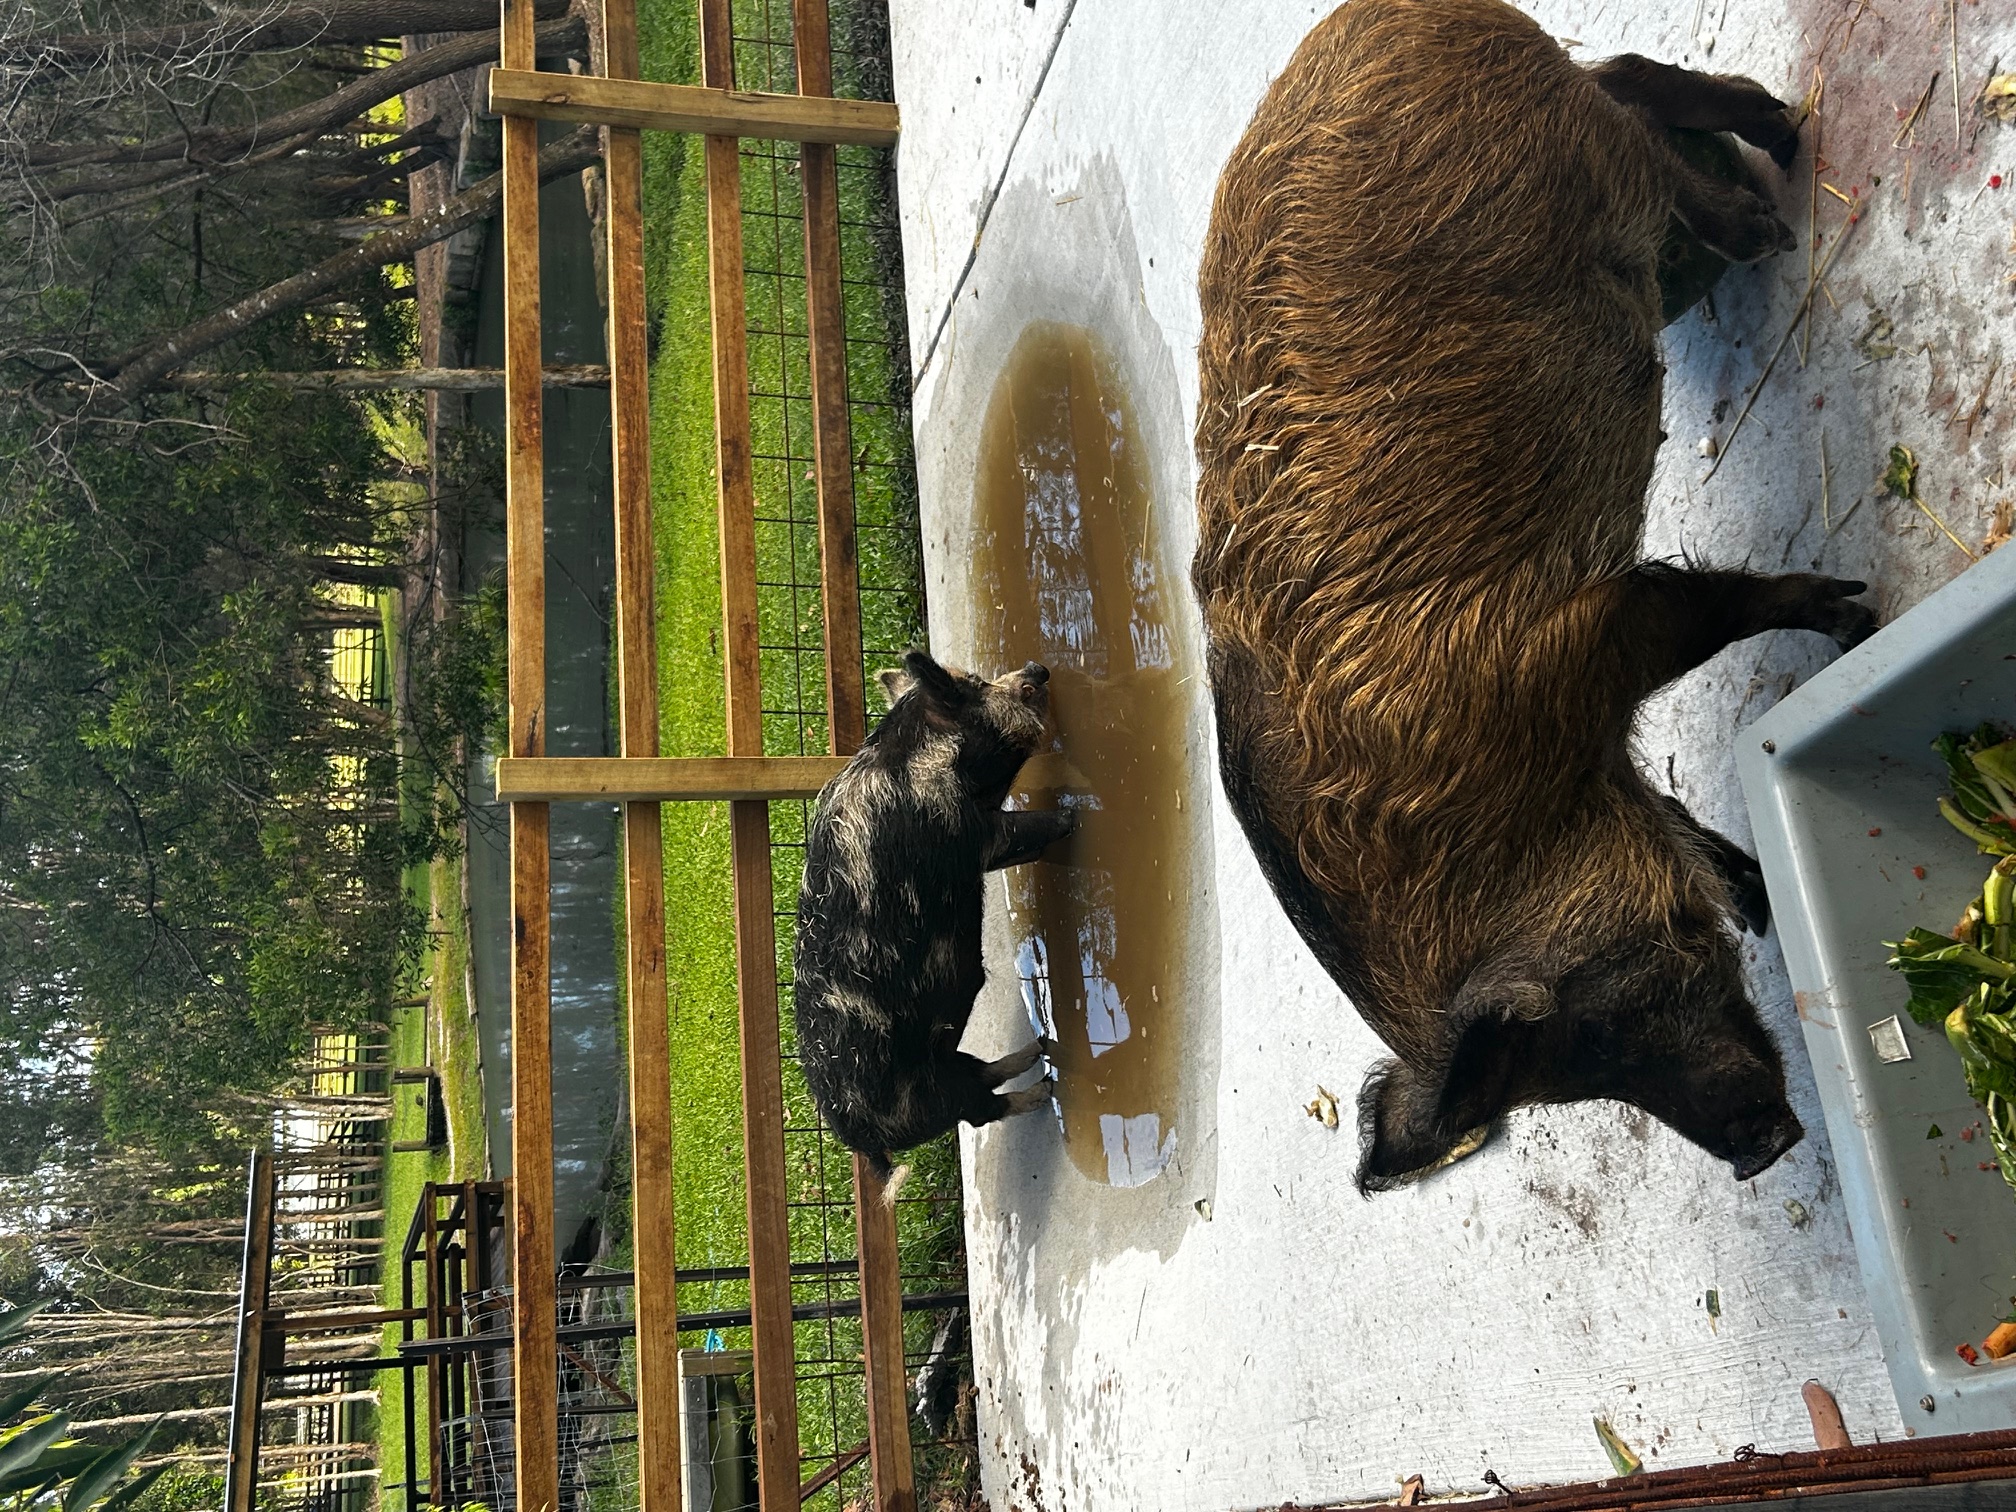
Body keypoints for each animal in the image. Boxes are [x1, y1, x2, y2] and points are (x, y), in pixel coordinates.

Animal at [793, 649, 1077, 1191]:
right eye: (980, 687)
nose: (1036, 670)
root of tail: (862, 1140)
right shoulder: (974, 834)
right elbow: (1028, 829)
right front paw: (1072, 817)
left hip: (946, 1067)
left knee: (983, 1072)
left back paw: (1039, 1050)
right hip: (929, 1100)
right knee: (983, 1110)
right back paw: (1046, 1090)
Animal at [1190, 0, 1875, 1192]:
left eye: (1609, 1016)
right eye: (1577, 1080)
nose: (1763, 1149)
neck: (1492, 815)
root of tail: (1380, 18)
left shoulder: (1597, 629)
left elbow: (1720, 607)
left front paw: (1855, 621)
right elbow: (1674, 812)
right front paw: (1751, 889)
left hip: (1589, 162)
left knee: (1637, 123)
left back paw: (1764, 214)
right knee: (1624, 71)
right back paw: (1781, 138)